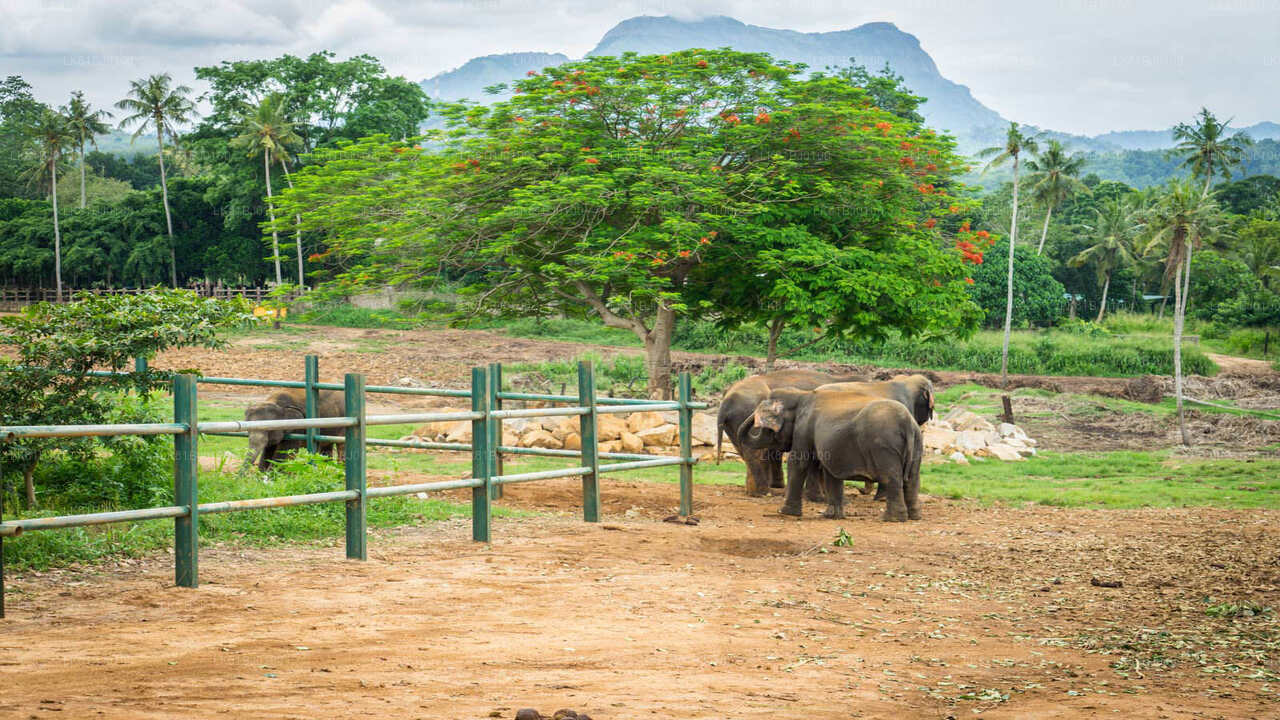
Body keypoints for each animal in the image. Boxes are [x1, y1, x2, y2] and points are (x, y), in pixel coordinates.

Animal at [737, 389, 926, 517]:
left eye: (767, 428)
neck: (801, 395)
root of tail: (907, 422)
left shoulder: (803, 427)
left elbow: (798, 463)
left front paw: (785, 512)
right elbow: (830, 473)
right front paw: (831, 516)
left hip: (884, 447)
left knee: (891, 477)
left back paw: (891, 518)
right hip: (917, 444)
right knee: (912, 478)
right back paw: (914, 517)